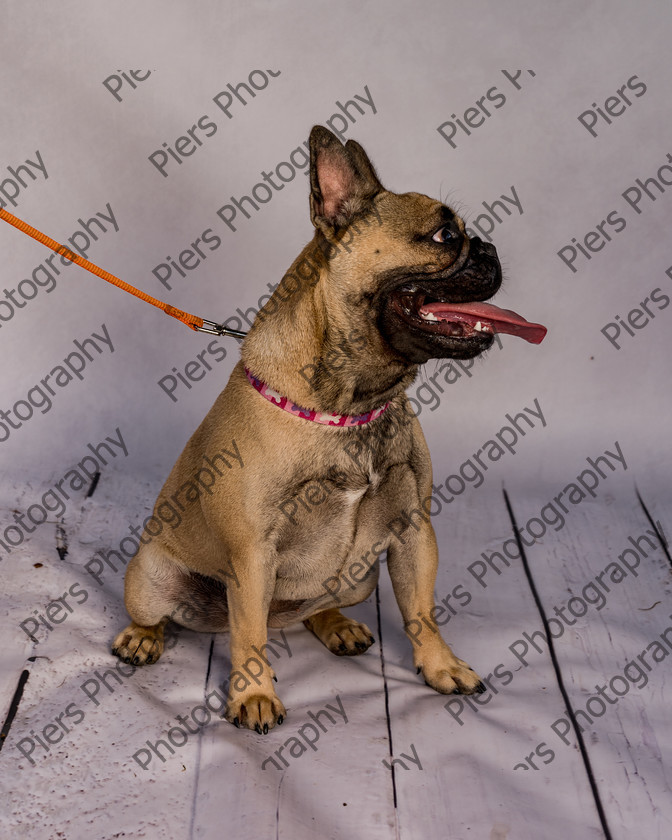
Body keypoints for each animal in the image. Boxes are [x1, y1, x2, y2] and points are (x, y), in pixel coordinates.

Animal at [113, 121, 544, 732]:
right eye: (443, 235)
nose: (488, 247)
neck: (351, 402)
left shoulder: (414, 530)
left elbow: (422, 610)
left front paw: (440, 667)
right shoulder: (253, 553)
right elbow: (249, 636)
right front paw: (253, 695)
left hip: (358, 577)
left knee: (312, 609)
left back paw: (336, 624)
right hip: (150, 576)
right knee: (192, 618)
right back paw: (142, 638)